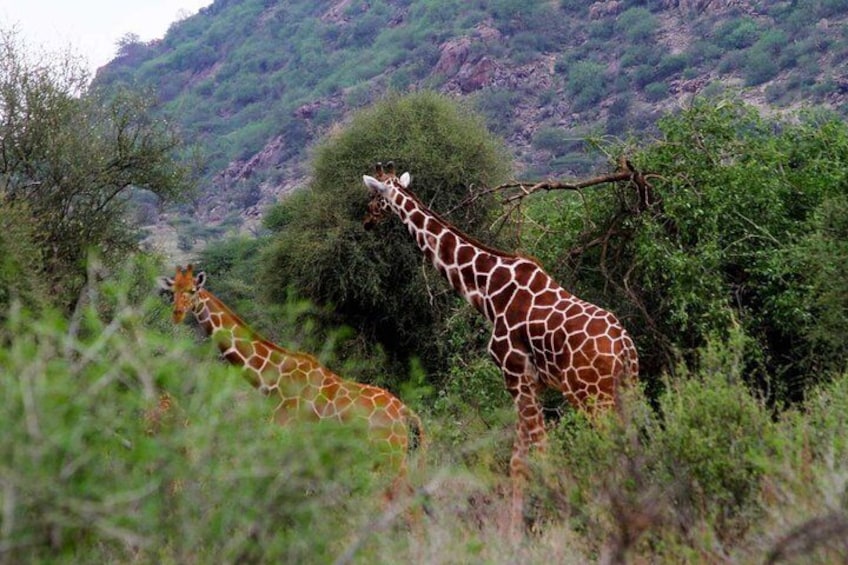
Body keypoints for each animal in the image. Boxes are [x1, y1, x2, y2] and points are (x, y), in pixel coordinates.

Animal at [157, 264, 424, 486]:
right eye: (172, 291)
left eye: (193, 290)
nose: (177, 313)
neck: (272, 379)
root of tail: (405, 413)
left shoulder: (286, 435)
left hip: (388, 458)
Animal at [362, 162, 638, 533]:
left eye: (374, 198)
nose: (366, 221)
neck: (486, 288)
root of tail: (624, 348)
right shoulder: (532, 382)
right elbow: (518, 459)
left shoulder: (516, 374)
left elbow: (537, 453)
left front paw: (540, 525)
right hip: (627, 390)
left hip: (593, 395)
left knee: (613, 447)